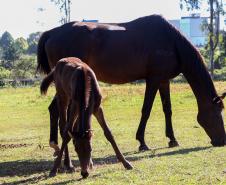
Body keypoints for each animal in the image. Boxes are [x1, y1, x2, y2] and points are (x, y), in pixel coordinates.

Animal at [37, 14, 224, 160]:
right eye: (217, 112)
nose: (222, 141)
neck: (171, 41)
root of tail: (52, 33)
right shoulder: (154, 80)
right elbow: (146, 110)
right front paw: (142, 142)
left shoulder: (164, 81)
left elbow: (167, 109)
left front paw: (172, 139)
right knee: (56, 109)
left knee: (54, 109)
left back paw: (56, 147)